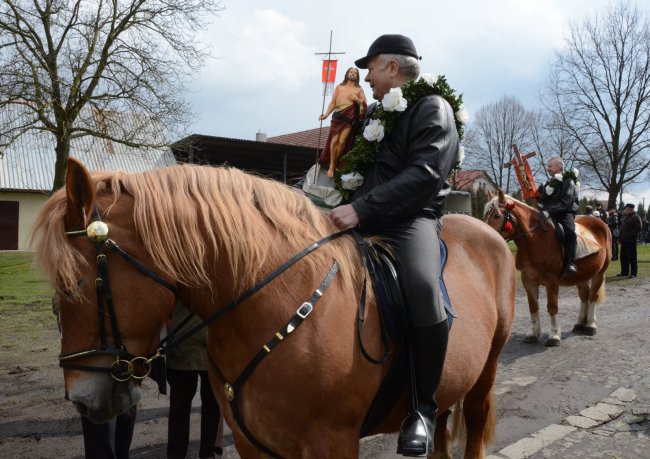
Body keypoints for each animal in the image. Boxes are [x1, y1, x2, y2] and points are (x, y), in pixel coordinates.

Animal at [484, 189, 612, 346]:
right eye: (485, 214)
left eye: (497, 215)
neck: (536, 240)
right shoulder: (528, 280)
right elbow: (533, 306)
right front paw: (533, 333)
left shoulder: (552, 282)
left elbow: (552, 307)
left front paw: (554, 335)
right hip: (582, 275)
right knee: (584, 296)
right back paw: (579, 324)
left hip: (599, 273)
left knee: (593, 296)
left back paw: (591, 325)